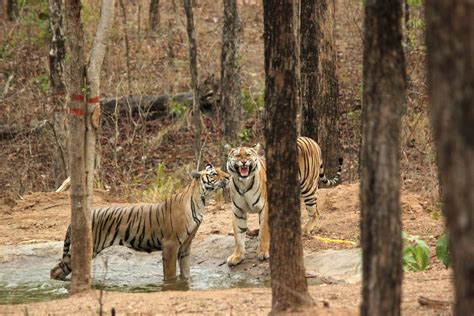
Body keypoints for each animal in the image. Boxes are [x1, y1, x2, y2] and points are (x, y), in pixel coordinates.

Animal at [50, 164, 230, 280]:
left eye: (222, 171)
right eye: (214, 173)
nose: (229, 177)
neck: (202, 201)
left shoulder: (185, 245)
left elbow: (186, 273)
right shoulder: (170, 244)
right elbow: (170, 273)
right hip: (88, 247)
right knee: (56, 269)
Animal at [225, 136, 340, 266]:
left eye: (248, 155)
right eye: (237, 155)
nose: (244, 162)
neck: (243, 183)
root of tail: (312, 140)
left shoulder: (265, 207)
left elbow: (263, 232)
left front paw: (263, 252)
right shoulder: (238, 211)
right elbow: (238, 235)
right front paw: (237, 256)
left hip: (308, 188)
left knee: (315, 213)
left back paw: (305, 230)